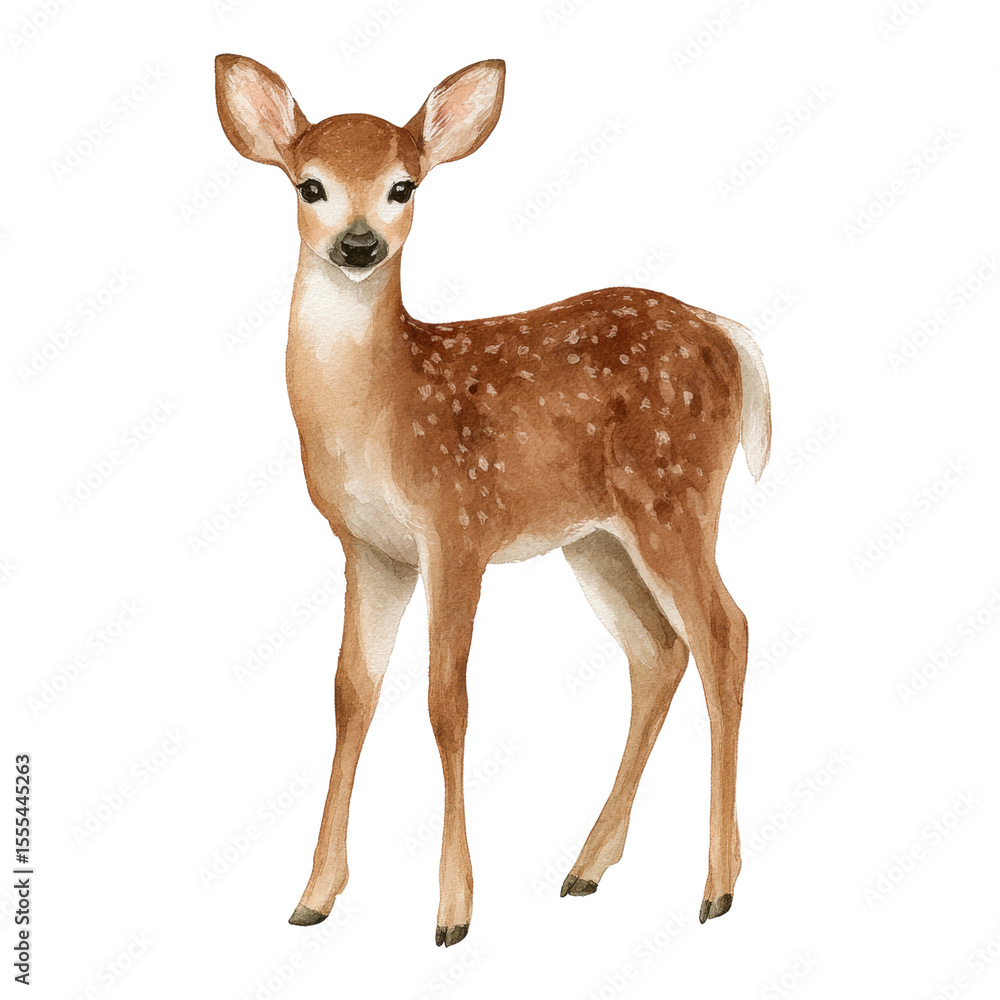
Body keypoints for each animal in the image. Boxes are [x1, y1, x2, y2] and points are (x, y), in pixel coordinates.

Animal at [214, 53, 772, 947]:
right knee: (659, 650)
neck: (385, 411)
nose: (359, 244)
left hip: (676, 495)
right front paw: (314, 895)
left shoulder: (458, 527)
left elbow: (447, 701)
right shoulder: (370, 548)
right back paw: (588, 867)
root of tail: (729, 335)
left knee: (725, 631)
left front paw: (453, 912)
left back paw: (715, 888)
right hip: (596, 537)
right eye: (310, 185)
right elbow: (350, 693)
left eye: (403, 185)